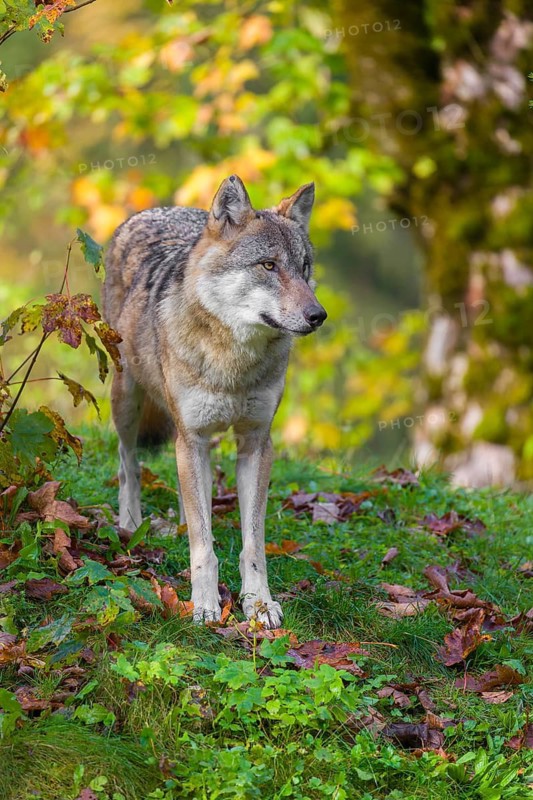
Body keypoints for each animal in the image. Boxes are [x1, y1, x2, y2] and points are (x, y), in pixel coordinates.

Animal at [102, 175, 326, 628]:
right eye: (269, 266)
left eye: (304, 267)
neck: (234, 364)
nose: (318, 316)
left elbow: (252, 543)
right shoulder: (193, 438)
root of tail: (151, 211)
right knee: (127, 462)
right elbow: (203, 546)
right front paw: (205, 606)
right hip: (128, 401)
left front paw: (259, 604)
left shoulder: (256, 443)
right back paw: (131, 522)